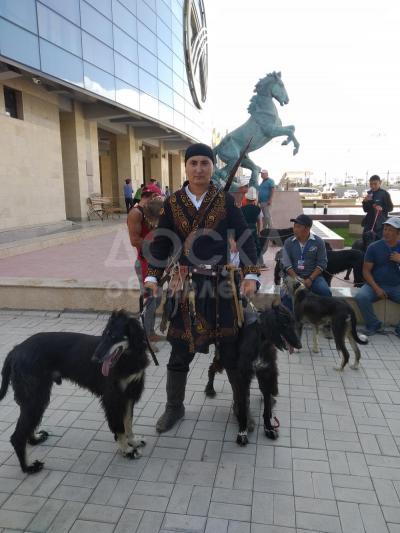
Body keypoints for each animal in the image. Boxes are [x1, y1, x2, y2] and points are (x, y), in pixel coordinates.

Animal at [0, 310, 149, 474]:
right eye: (104, 334)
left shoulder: (129, 394)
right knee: (17, 435)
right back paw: (28, 467)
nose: (94, 359)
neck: (128, 358)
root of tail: (15, 350)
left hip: (34, 397)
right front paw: (127, 450)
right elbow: (120, 426)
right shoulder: (113, 398)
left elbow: (128, 421)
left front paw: (132, 441)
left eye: (113, 336)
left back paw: (34, 440)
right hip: (35, 396)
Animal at [204, 302, 301, 445]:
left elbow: (266, 407)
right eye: (284, 323)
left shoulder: (266, 373)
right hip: (225, 358)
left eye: (293, 322)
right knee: (212, 369)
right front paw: (242, 432)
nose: (299, 345)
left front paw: (269, 428)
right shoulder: (243, 375)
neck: (261, 341)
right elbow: (243, 404)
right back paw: (210, 389)